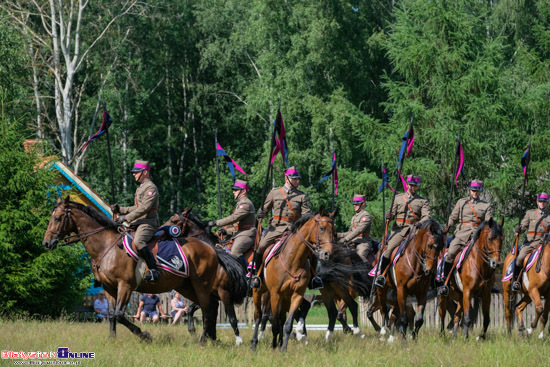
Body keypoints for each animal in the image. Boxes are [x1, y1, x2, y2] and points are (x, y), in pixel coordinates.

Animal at [43, 197, 220, 344]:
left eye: (57, 218)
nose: (46, 243)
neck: (107, 246)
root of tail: (210, 249)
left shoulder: (125, 286)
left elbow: (119, 315)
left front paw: (145, 335)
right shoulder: (109, 288)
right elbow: (112, 314)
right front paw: (111, 340)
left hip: (200, 286)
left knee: (208, 307)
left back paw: (205, 338)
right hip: (186, 287)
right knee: (209, 306)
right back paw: (209, 338)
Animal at [165, 210, 249, 344]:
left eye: (173, 220)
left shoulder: (224, 294)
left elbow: (230, 318)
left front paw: (237, 341)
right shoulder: (210, 295)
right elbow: (197, 311)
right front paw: (203, 335)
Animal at [251, 211, 336, 352]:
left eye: (334, 231)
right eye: (321, 228)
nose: (327, 254)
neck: (292, 259)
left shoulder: (296, 295)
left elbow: (287, 324)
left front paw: (283, 348)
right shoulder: (275, 295)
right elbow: (274, 322)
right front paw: (274, 346)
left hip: (284, 298)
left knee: (282, 318)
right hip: (259, 292)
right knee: (258, 316)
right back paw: (254, 342)